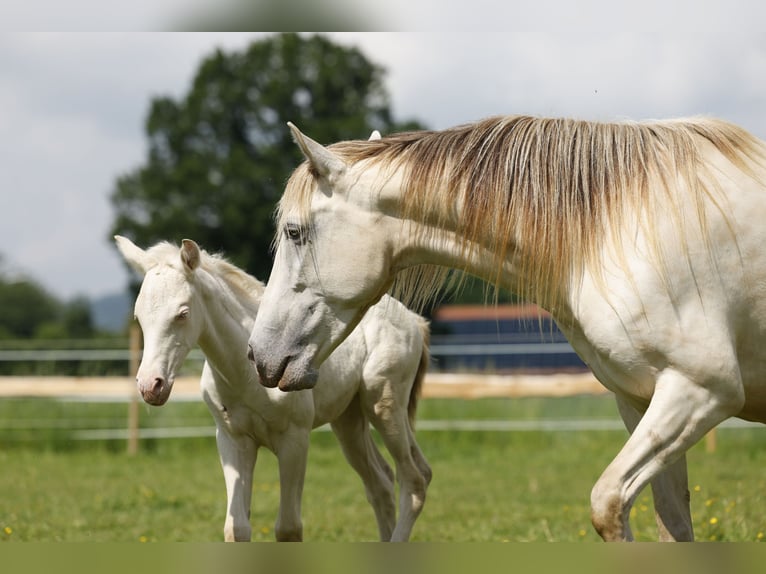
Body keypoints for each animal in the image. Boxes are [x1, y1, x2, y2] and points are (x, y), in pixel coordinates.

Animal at [117, 236, 436, 544]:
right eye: (138, 316)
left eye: (182, 313)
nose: (150, 385)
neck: (245, 373)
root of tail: (414, 319)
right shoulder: (233, 440)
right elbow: (237, 528)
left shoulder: (294, 440)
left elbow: (288, 529)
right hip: (348, 419)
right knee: (381, 484)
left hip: (385, 406)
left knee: (415, 480)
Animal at [250, 115, 766, 544]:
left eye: (294, 232)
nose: (258, 353)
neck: (617, 228)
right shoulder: (641, 401)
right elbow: (672, 523)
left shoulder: (701, 391)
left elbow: (607, 504)